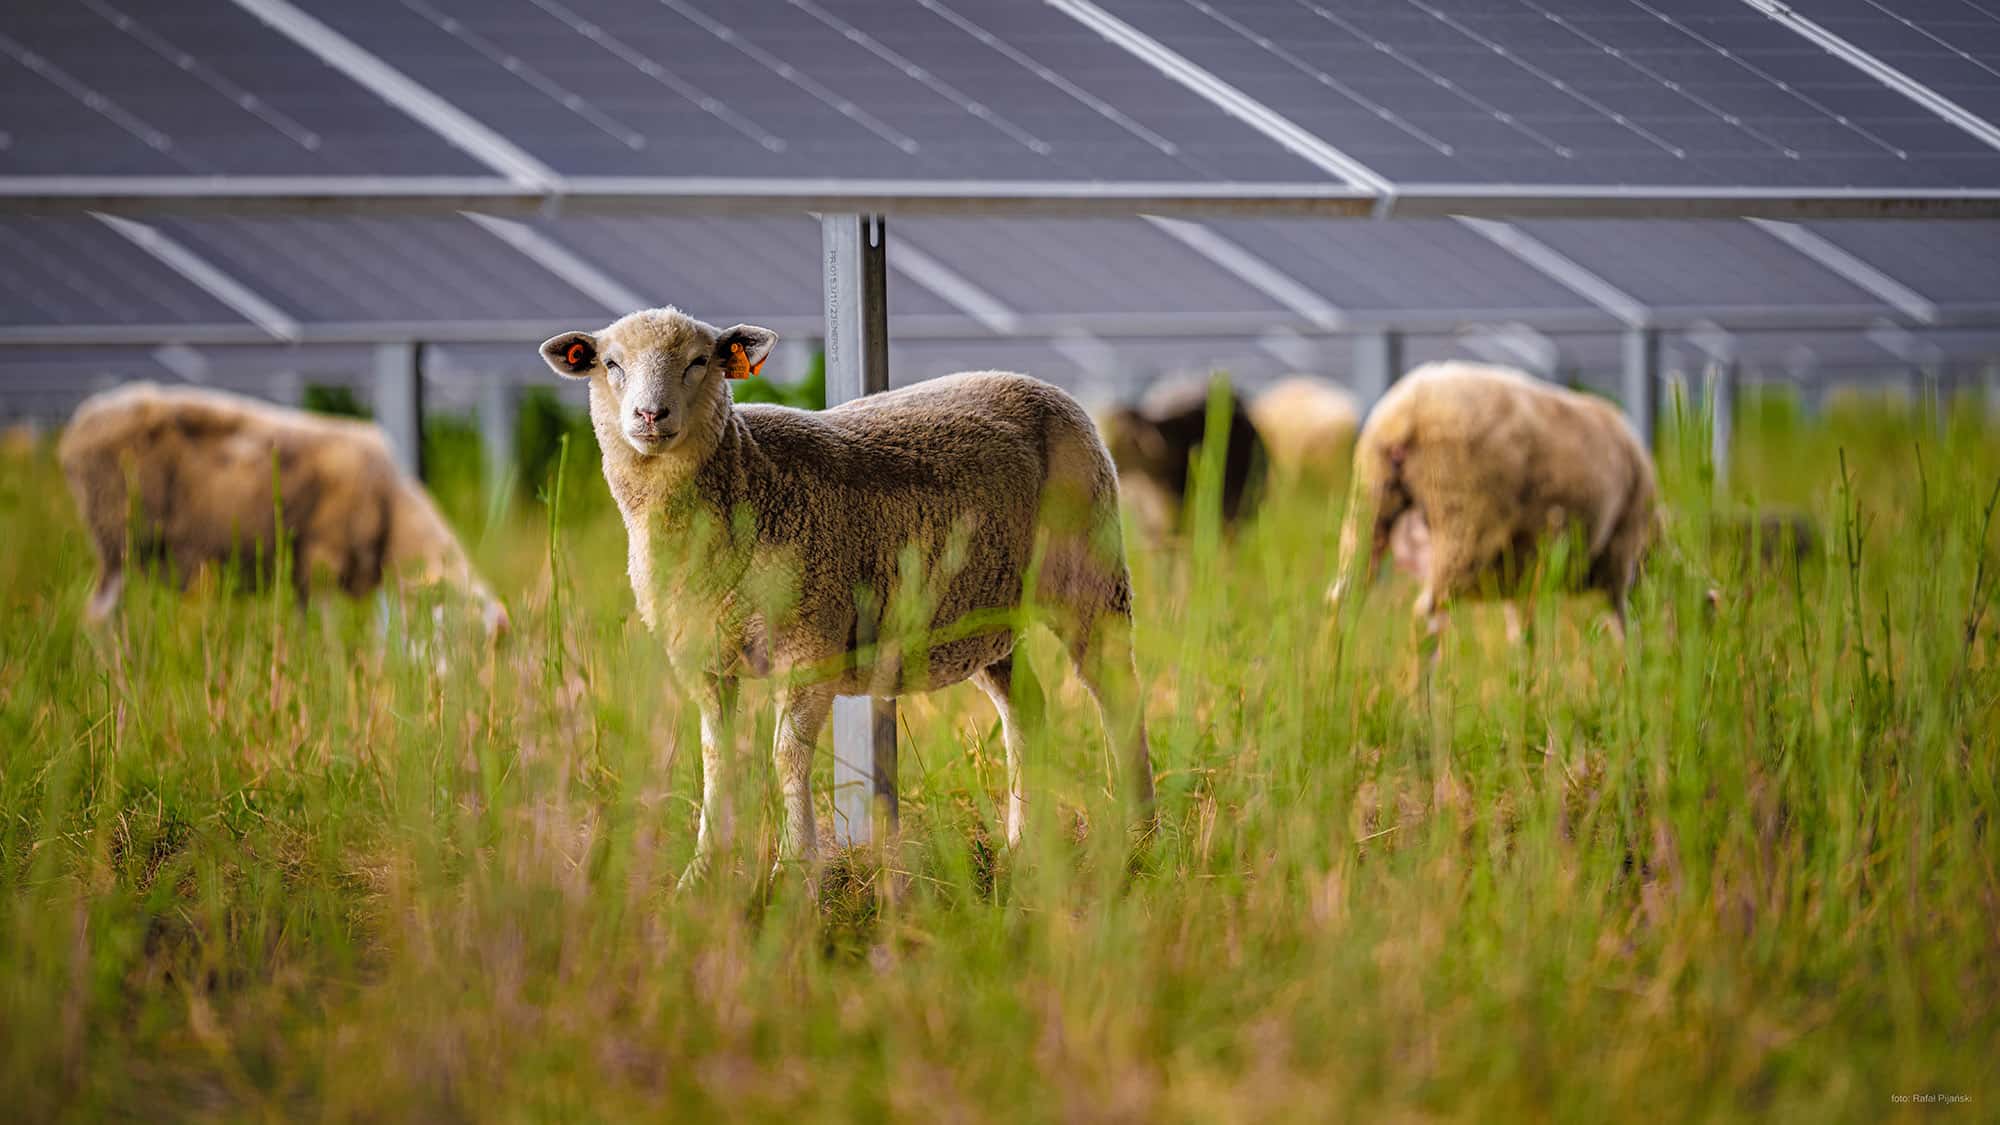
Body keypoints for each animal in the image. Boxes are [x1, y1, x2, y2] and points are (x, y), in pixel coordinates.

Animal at [58, 382, 507, 633]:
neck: (394, 515)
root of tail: (80, 423)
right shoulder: (321, 562)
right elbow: (328, 636)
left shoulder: (310, 579)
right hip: (116, 536)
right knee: (96, 617)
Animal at [538, 306, 1154, 881]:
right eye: (610, 364)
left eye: (699, 361)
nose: (649, 416)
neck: (746, 478)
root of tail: (1039, 382)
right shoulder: (701, 657)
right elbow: (716, 758)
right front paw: (703, 872)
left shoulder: (810, 647)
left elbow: (787, 757)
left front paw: (794, 868)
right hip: (984, 613)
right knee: (1028, 709)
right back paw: (1023, 845)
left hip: (1092, 573)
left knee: (1119, 696)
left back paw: (1140, 835)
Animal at [1328, 361, 1657, 642]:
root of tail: (1407, 414)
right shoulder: (1620, 556)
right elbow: (1622, 626)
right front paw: (1629, 670)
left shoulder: (1520, 580)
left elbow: (1523, 636)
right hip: (1464, 521)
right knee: (1426, 615)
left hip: (1368, 508)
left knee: (1342, 600)